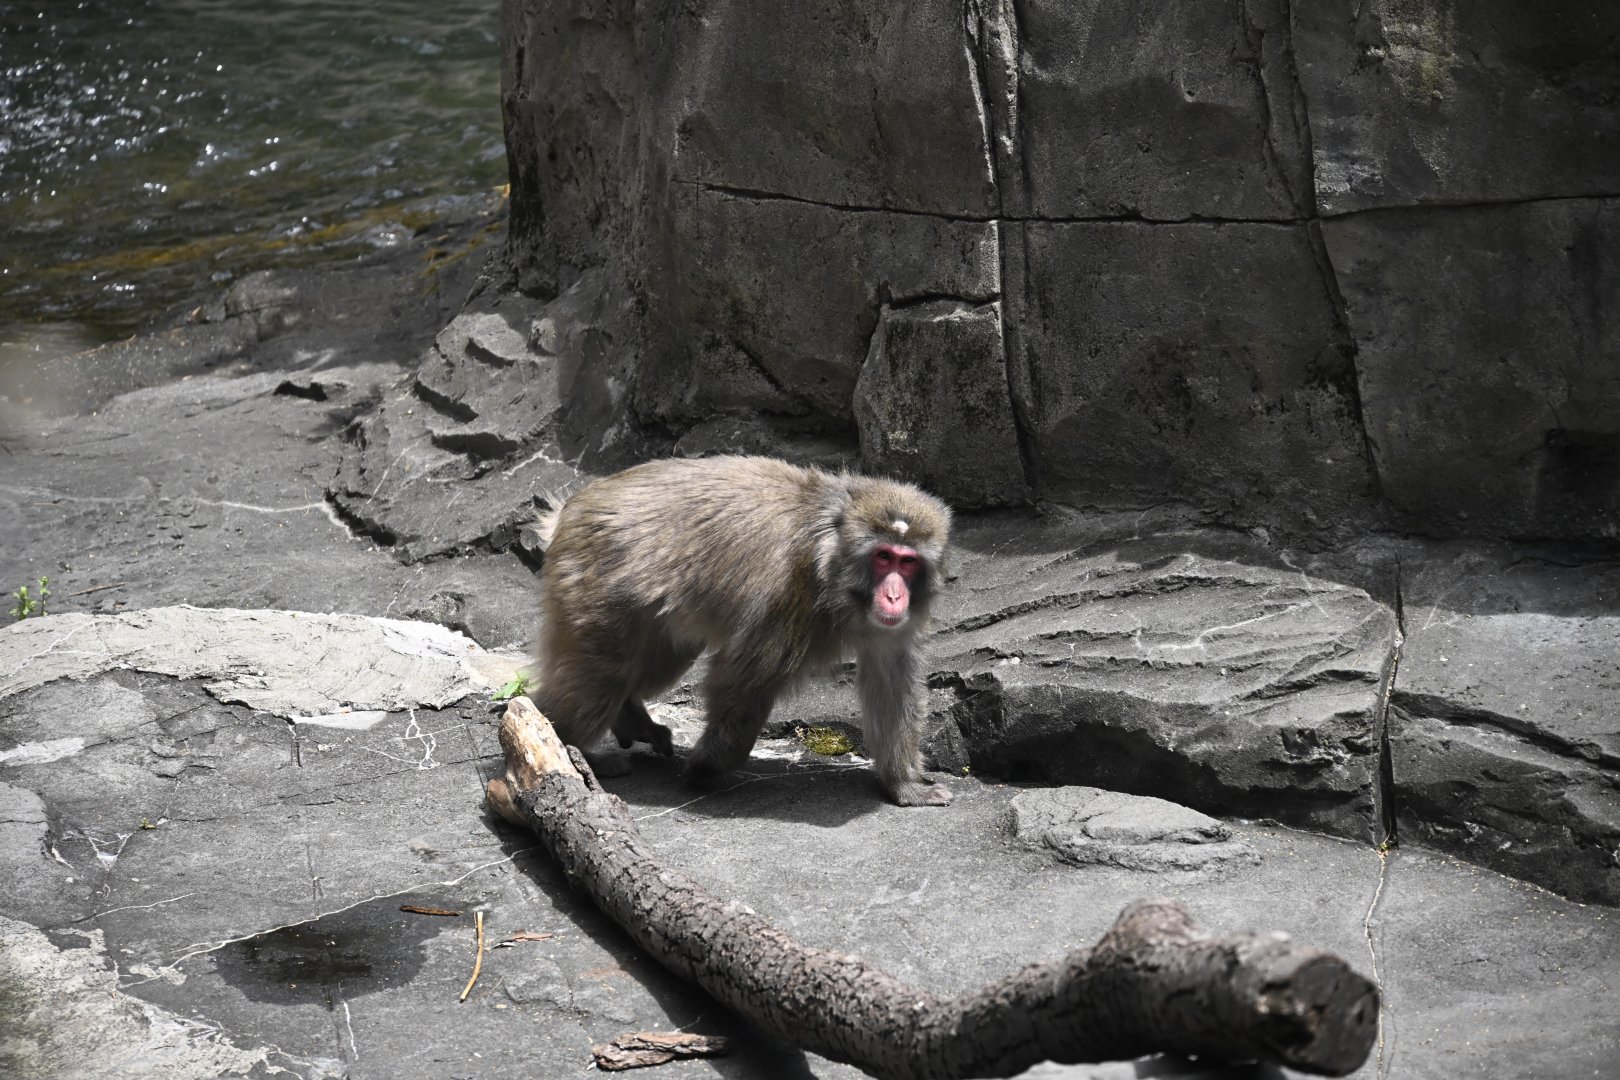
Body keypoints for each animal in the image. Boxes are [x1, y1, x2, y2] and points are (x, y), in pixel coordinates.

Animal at [531, 455, 953, 807]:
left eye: (907, 561)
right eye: (883, 556)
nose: (895, 596)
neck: (833, 564)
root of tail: (572, 507)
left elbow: (892, 677)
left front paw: (903, 786)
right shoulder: (791, 592)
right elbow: (748, 676)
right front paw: (709, 766)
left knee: (661, 658)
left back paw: (628, 718)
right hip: (596, 584)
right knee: (602, 673)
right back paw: (568, 743)